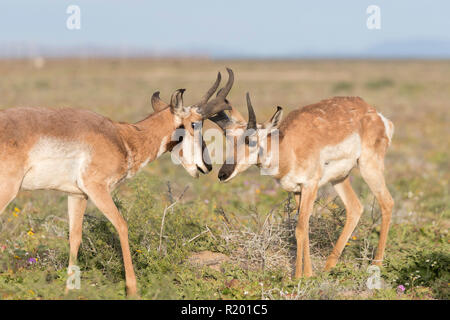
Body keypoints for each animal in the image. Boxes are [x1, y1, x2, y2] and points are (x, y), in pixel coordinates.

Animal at [0, 71, 232, 296]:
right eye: (195, 123)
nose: (208, 167)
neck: (122, 138)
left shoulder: (77, 195)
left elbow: (75, 237)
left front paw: (68, 290)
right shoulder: (97, 188)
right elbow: (122, 225)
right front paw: (132, 289)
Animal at [211, 87, 394, 278]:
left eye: (251, 140)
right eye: (228, 138)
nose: (223, 174)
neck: (288, 145)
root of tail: (374, 113)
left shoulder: (310, 186)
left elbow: (299, 229)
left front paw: (298, 277)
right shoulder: (297, 190)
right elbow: (303, 228)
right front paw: (308, 274)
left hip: (368, 167)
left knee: (387, 203)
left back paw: (376, 265)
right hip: (339, 178)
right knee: (355, 207)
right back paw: (328, 267)